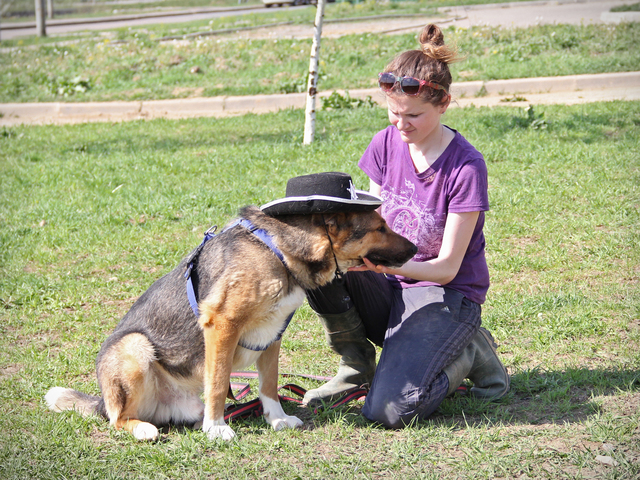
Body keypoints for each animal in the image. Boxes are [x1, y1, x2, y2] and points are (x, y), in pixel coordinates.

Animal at [43, 204, 416, 440]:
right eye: (379, 228)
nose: (416, 249)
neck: (279, 250)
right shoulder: (223, 325)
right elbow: (220, 381)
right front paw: (216, 428)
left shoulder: (272, 334)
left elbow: (269, 385)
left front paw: (277, 419)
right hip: (134, 347)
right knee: (117, 419)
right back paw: (144, 429)